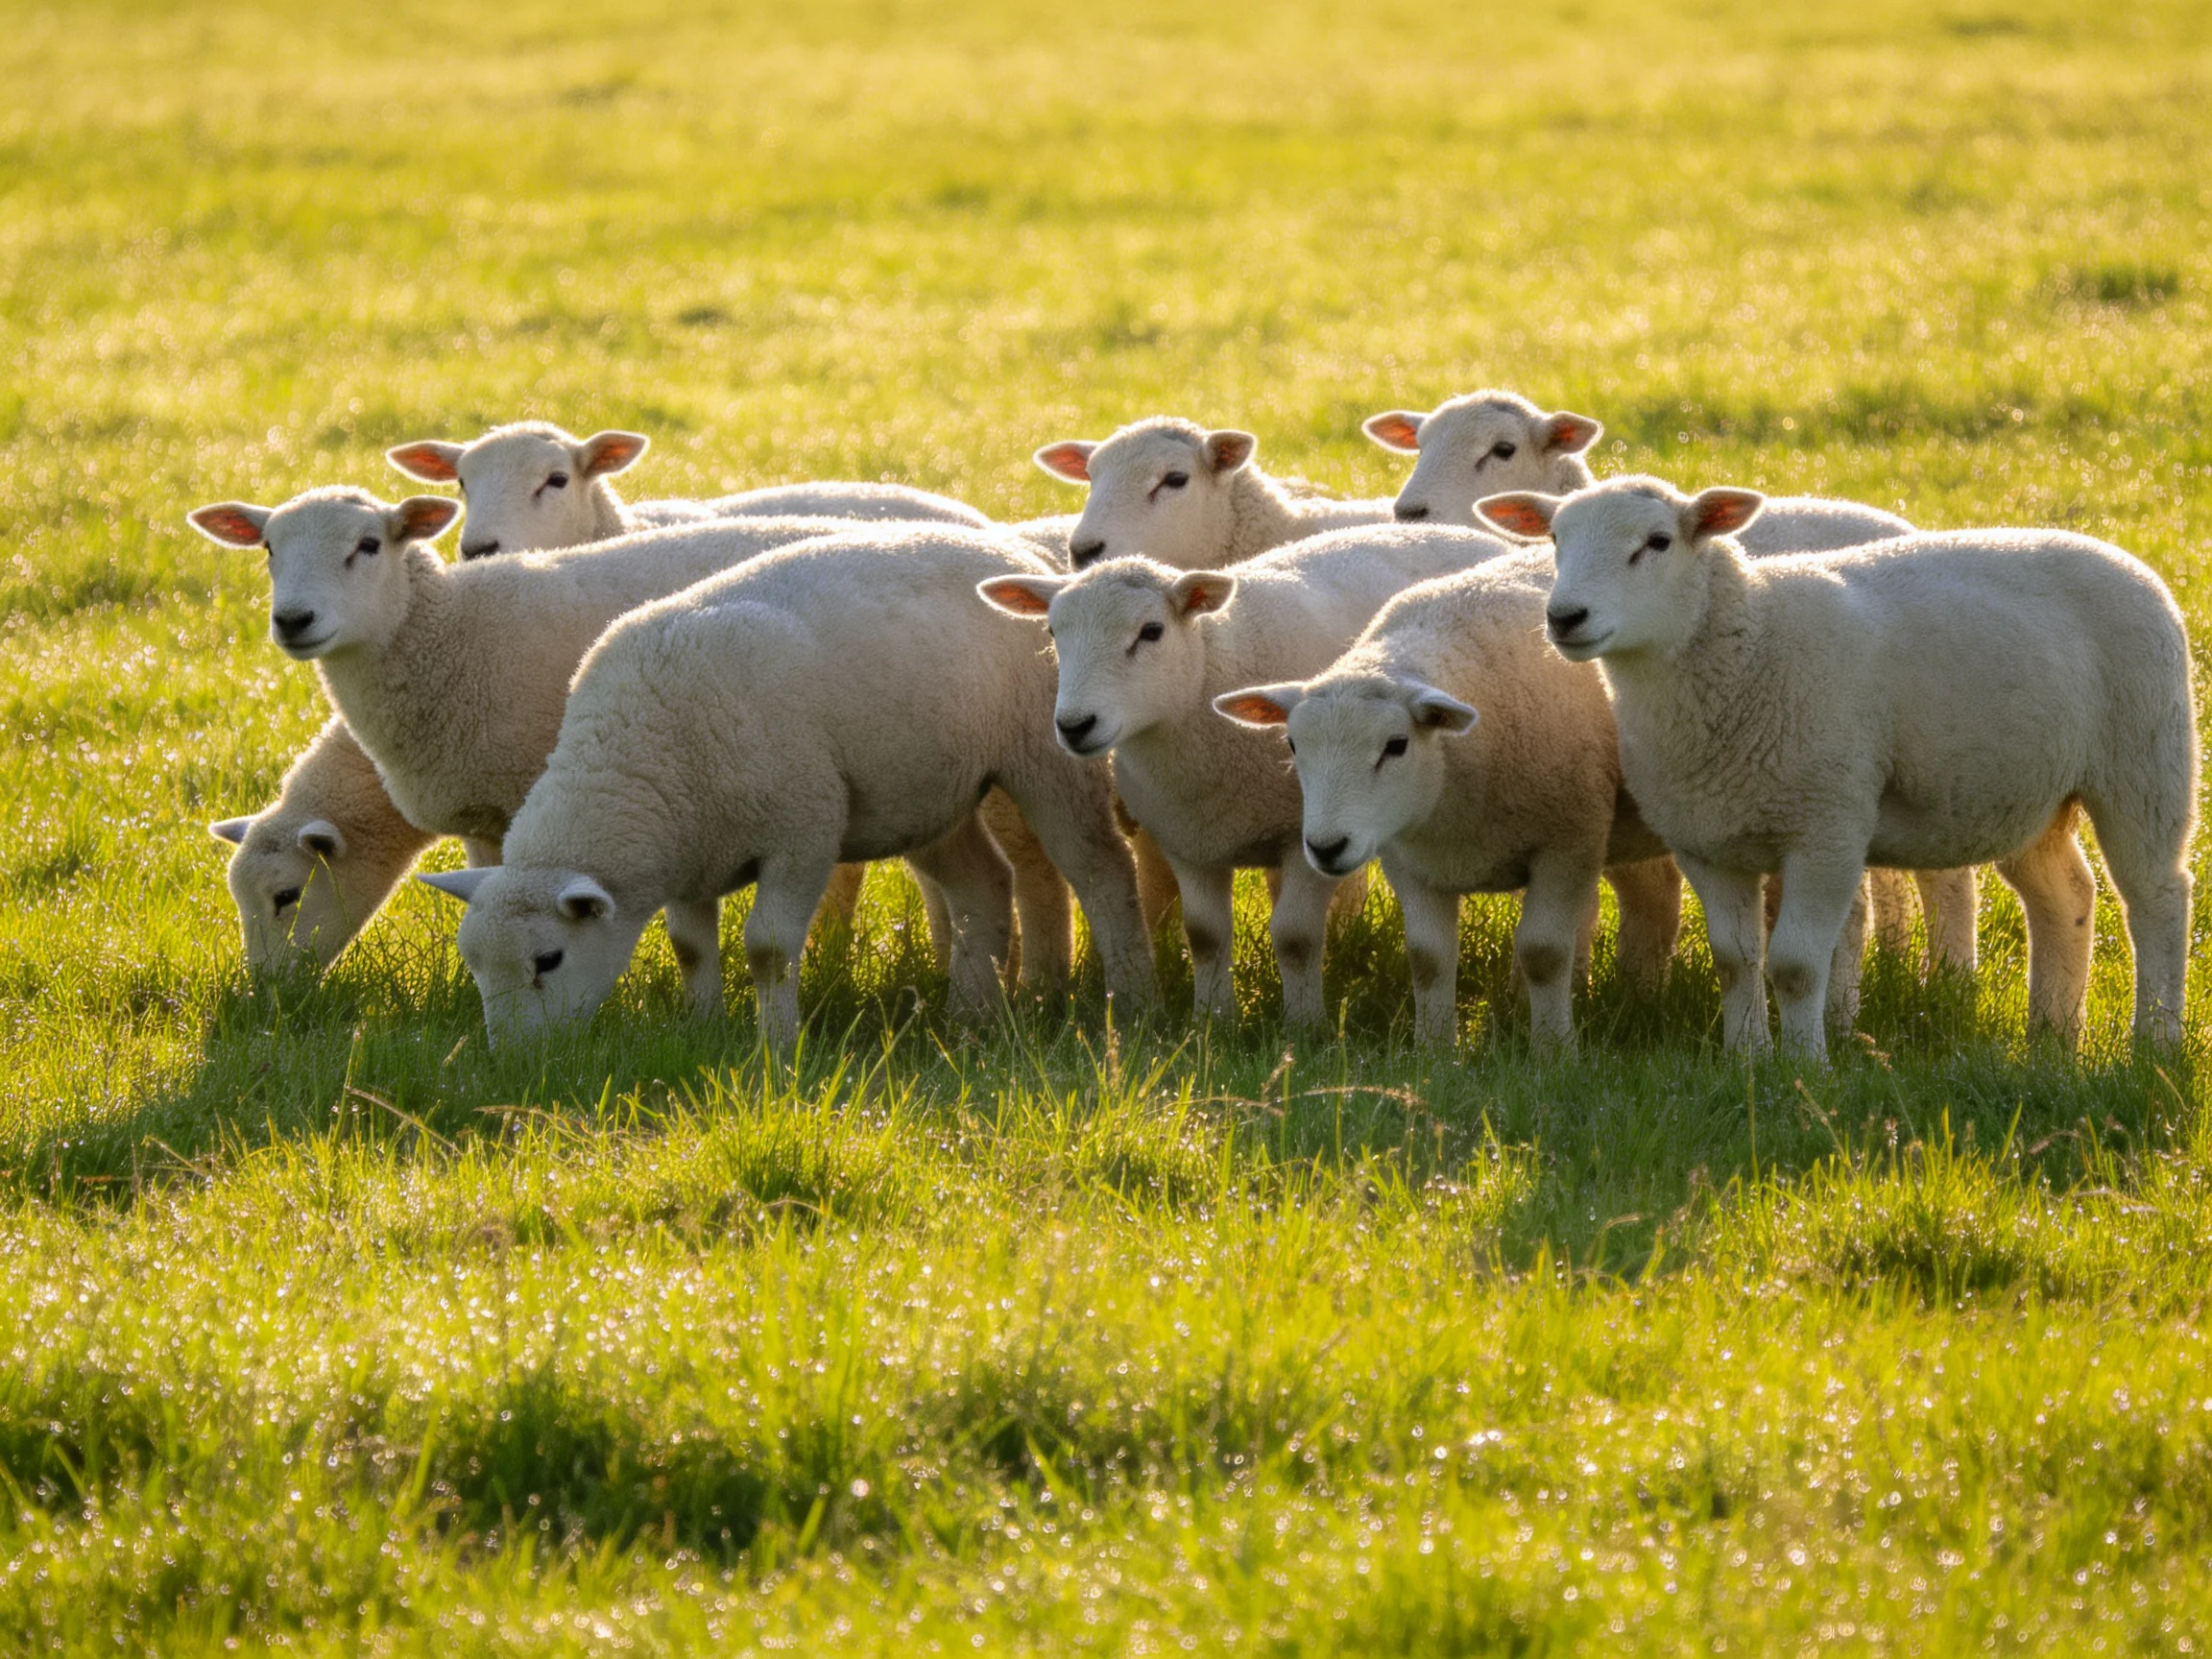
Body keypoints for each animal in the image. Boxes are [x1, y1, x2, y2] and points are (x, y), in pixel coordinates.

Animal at [417, 526, 1154, 1050]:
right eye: (473, 965)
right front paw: (702, 1029)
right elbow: (691, 948)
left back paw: (1127, 1003)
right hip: (925, 794)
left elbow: (768, 948)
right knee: (983, 885)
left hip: (1044, 753)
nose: (513, 1061)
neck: (638, 753)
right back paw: (972, 1019)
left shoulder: (801, 831)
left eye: (548, 959)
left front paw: (776, 1047)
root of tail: (1012, 551)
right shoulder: (689, 849)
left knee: (1101, 871)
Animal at [977, 524, 1509, 1026]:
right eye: (1051, 632)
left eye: (1151, 631)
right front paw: (1213, 1020)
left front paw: (1303, 1026)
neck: (1208, 674)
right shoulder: (1187, 839)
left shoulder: (1304, 837)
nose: (1074, 726)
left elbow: (1295, 936)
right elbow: (1205, 936)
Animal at [1212, 553, 1684, 1047]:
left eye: (1396, 745)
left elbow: (1543, 953)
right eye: (1291, 744)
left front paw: (1553, 1048)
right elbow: (1428, 958)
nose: (1326, 848)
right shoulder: (1410, 861)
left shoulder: (1569, 843)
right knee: (1656, 891)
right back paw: (1642, 993)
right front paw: (1433, 1048)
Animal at [1368, 388, 1975, 973]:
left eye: (1502, 450)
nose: (1410, 512)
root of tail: (1897, 524)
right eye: (1419, 443)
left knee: (1945, 876)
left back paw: (1948, 974)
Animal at [1480, 475, 2195, 1059]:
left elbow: (1796, 965)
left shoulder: (1827, 827)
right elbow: (1735, 960)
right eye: (1554, 539)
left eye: (1656, 542)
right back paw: (2052, 1034)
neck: (1747, 647)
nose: (1564, 617)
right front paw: (1747, 1058)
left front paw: (1805, 1065)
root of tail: (2119, 556)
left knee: (2156, 897)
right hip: (2026, 793)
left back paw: (2154, 1043)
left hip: (2145, 759)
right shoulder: (1706, 840)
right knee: (2065, 895)